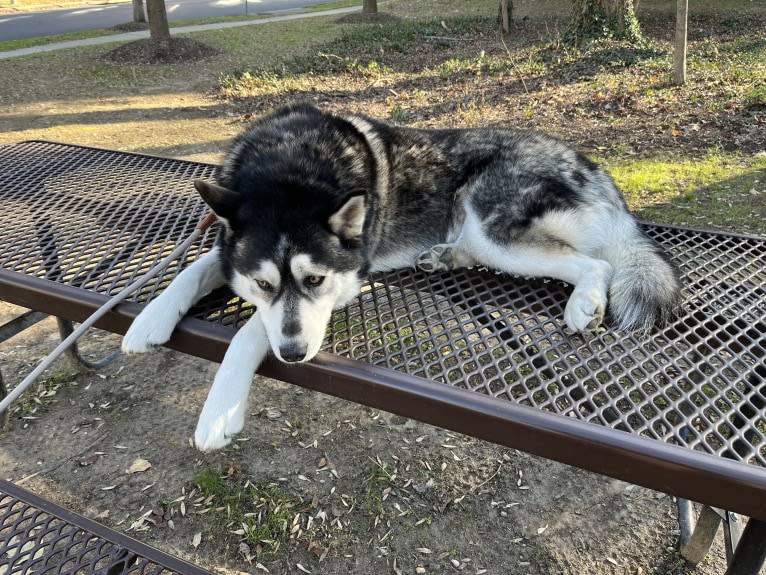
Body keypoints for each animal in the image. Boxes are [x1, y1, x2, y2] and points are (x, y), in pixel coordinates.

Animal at [121, 104, 684, 454]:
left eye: (316, 280)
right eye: (262, 285)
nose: (294, 356)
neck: (290, 169)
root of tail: (593, 168)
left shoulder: (345, 281)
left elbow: (250, 332)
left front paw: (218, 413)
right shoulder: (232, 249)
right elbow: (195, 271)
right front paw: (147, 321)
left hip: (493, 228)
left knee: (598, 264)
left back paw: (584, 304)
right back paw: (442, 257)